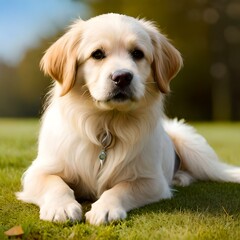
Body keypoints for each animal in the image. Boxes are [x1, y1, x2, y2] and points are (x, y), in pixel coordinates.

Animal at [16, 13, 240, 225]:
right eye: (97, 54)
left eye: (137, 53)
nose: (122, 77)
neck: (107, 126)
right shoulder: (38, 171)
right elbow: (55, 184)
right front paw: (61, 207)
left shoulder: (151, 180)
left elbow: (121, 188)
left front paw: (105, 208)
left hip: (191, 145)